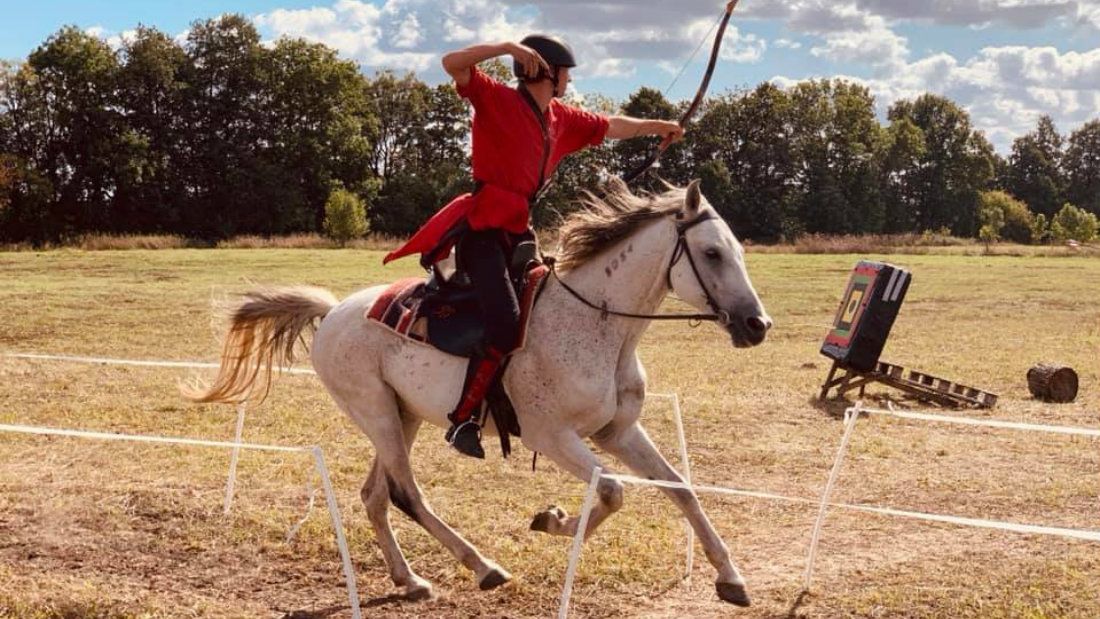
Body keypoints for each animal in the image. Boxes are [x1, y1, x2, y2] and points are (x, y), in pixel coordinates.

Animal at [187, 179, 774, 611]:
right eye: (712, 253)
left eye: (739, 252)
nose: (757, 324)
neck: (597, 324)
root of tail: (333, 312)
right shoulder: (551, 436)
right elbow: (612, 492)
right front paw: (553, 520)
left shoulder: (618, 431)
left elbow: (681, 488)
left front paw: (731, 577)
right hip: (375, 413)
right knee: (405, 494)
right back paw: (483, 566)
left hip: (402, 416)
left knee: (375, 496)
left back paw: (411, 579)